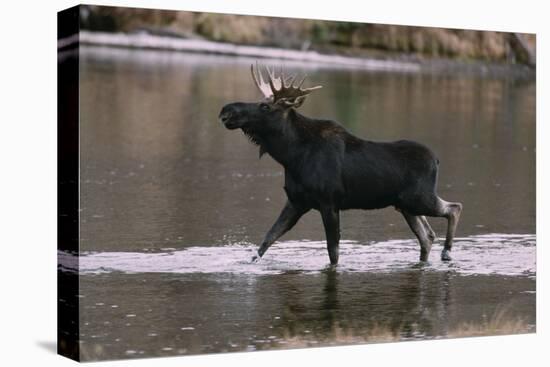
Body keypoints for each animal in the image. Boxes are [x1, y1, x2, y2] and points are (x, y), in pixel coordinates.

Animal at [219, 63, 462, 264]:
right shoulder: (296, 201)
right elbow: (267, 239)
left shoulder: (329, 202)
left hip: (419, 198)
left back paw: (447, 252)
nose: (226, 111)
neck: (291, 156)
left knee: (454, 208)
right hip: (405, 205)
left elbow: (333, 252)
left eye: (265, 107)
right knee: (427, 236)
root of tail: (436, 159)